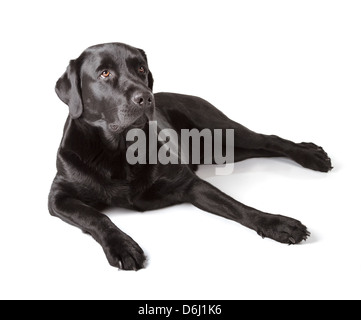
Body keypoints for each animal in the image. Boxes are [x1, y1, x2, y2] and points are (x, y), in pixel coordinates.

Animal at [48, 41, 332, 268]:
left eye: (141, 69)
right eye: (104, 73)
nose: (145, 97)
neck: (119, 150)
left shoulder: (189, 184)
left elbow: (237, 206)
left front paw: (278, 224)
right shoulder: (58, 197)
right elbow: (95, 216)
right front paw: (122, 247)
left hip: (221, 129)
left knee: (269, 140)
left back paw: (312, 155)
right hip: (227, 151)